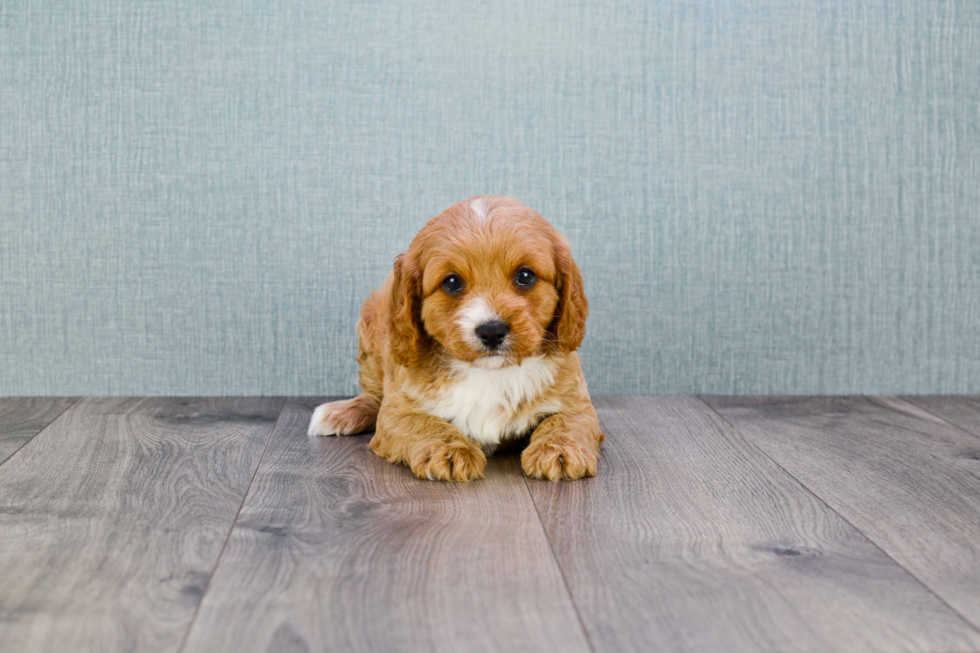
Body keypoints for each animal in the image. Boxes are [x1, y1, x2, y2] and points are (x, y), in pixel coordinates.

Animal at [310, 196, 604, 482]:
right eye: (452, 282)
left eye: (525, 276)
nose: (492, 331)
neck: (489, 373)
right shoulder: (396, 411)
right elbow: (423, 423)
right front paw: (450, 452)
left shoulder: (576, 399)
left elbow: (566, 420)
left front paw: (559, 450)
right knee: (373, 394)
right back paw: (341, 413)